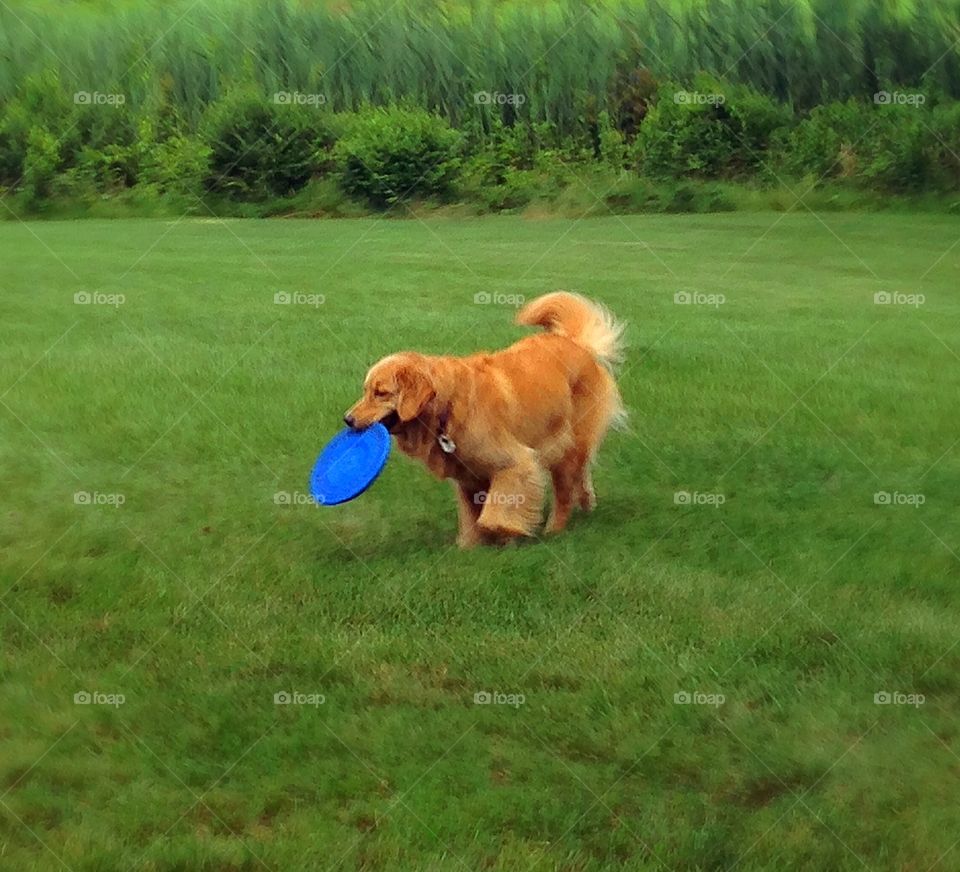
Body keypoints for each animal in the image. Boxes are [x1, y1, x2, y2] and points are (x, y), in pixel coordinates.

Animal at [344, 292, 624, 544]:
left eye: (380, 393)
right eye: (365, 391)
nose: (347, 419)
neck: (449, 407)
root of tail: (576, 343)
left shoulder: (515, 463)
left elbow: (494, 514)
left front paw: (506, 533)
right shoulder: (467, 478)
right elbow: (470, 519)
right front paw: (468, 547)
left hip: (567, 442)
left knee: (565, 490)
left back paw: (554, 529)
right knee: (582, 473)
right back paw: (586, 502)